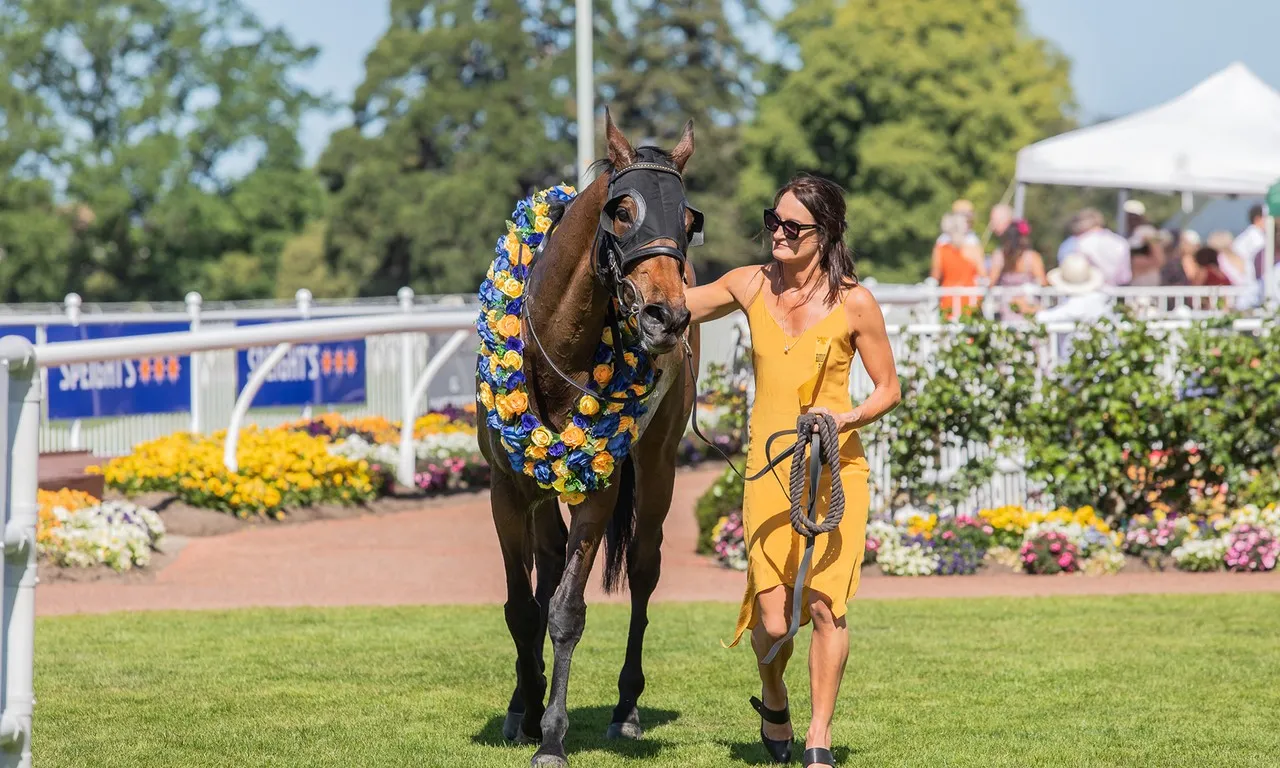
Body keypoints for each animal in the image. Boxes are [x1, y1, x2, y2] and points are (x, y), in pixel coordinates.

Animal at [474, 109, 703, 767]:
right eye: (622, 210)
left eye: (689, 221)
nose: (667, 317)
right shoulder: (506, 488)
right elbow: (522, 608)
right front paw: (525, 710)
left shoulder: (598, 487)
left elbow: (566, 611)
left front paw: (551, 734)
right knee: (546, 568)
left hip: (657, 469)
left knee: (645, 571)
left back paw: (626, 710)